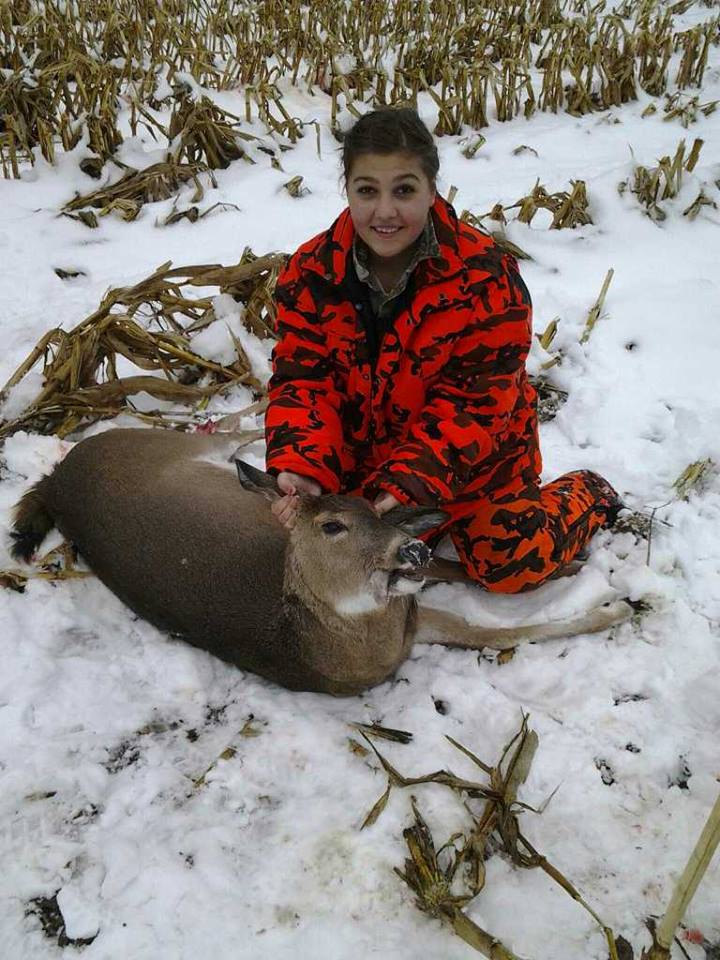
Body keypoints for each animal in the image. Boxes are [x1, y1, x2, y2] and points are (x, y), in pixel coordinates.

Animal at [9, 428, 632, 696]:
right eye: (332, 526)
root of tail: (57, 482)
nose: (409, 547)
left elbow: (471, 592)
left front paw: (581, 574)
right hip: (169, 444)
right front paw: (614, 607)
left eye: (371, 509)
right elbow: (500, 633)